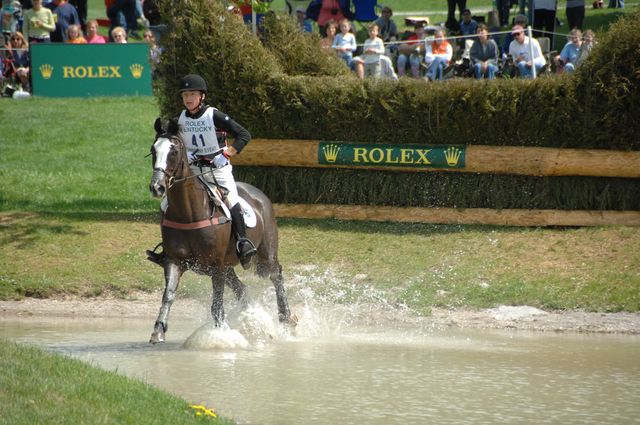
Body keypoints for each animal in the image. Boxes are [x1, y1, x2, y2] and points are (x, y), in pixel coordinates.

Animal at [147, 118, 295, 343]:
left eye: (173, 151)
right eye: (153, 150)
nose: (157, 187)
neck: (188, 211)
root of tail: (259, 194)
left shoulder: (216, 265)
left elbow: (217, 301)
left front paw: (219, 334)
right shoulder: (174, 261)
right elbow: (169, 295)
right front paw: (158, 330)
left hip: (266, 252)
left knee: (276, 275)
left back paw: (286, 318)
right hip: (228, 266)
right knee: (241, 289)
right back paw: (253, 319)